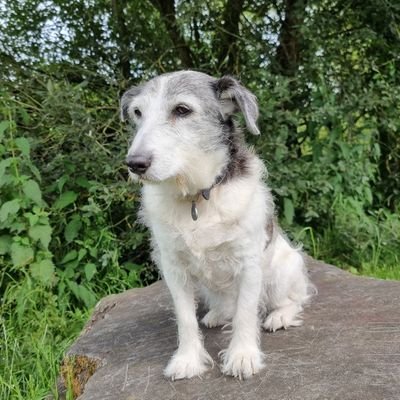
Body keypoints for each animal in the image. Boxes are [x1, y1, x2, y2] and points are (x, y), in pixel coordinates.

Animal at [120, 71, 314, 382]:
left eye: (182, 110)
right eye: (138, 112)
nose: (135, 163)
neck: (197, 197)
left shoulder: (248, 263)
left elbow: (246, 314)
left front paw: (242, 356)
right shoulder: (173, 268)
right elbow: (185, 319)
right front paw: (188, 359)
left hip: (283, 270)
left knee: (294, 299)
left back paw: (280, 316)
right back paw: (217, 315)